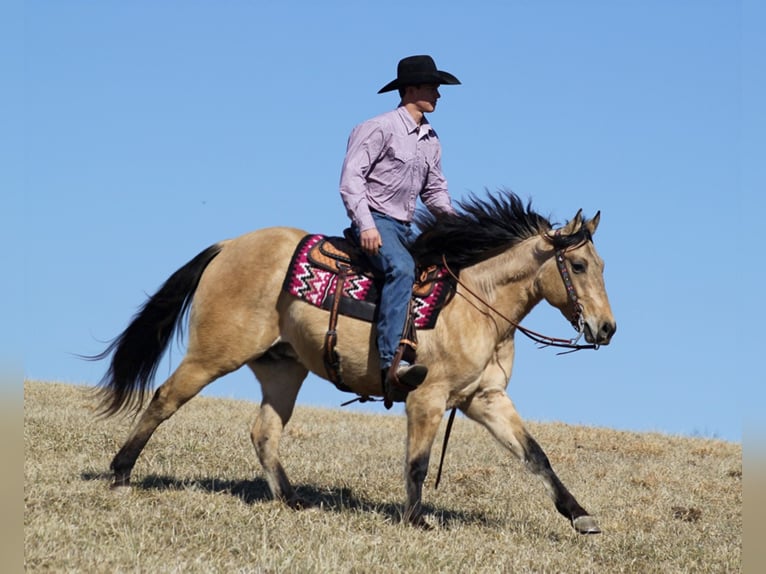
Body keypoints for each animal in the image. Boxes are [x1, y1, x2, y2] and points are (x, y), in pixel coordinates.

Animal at [93, 192, 616, 536]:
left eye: (602, 265)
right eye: (579, 266)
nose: (607, 328)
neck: (477, 303)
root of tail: (229, 245)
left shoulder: (485, 399)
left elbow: (535, 455)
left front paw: (580, 515)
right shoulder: (426, 398)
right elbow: (418, 464)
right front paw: (417, 519)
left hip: (282, 369)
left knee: (264, 432)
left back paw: (293, 500)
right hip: (213, 355)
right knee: (164, 399)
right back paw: (120, 474)